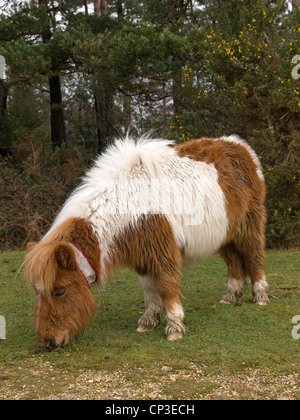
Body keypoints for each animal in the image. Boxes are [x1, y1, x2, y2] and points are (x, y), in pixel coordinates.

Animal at [25, 136, 270, 350]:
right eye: (37, 292)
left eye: (59, 292)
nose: (48, 342)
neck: (128, 204)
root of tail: (241, 147)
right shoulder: (142, 257)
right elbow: (149, 290)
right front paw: (149, 321)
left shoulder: (162, 254)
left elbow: (167, 286)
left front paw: (174, 327)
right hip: (224, 234)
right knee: (234, 261)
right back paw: (231, 297)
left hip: (249, 225)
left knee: (254, 255)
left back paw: (260, 297)